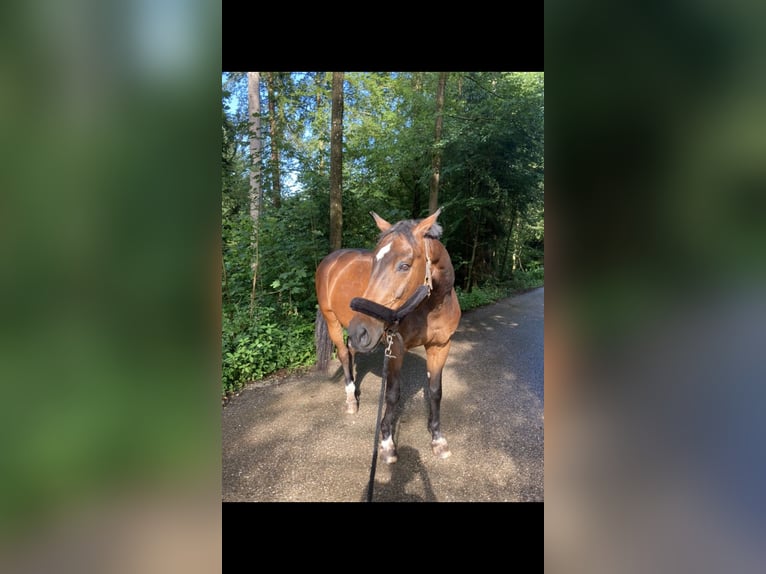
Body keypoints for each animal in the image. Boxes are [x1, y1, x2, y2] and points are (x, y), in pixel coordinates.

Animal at [314, 209, 460, 466]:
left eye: (404, 265)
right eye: (374, 262)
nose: (361, 328)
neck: (432, 306)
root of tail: (330, 260)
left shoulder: (441, 346)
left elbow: (435, 392)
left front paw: (437, 439)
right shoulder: (396, 348)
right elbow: (392, 395)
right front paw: (386, 444)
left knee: (351, 352)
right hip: (333, 322)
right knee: (343, 354)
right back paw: (351, 399)